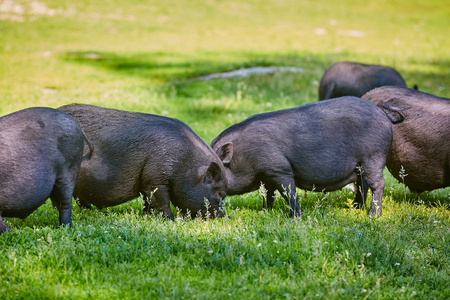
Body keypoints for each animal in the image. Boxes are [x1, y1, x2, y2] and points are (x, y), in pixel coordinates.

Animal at [59, 103, 229, 220]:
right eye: (220, 193)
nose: (226, 217)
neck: (186, 166)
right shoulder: (156, 180)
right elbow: (161, 202)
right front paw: (172, 220)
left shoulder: (146, 184)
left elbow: (149, 203)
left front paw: (147, 217)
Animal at [213, 97, 392, 217]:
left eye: (213, 170)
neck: (242, 157)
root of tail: (384, 115)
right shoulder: (268, 175)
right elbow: (269, 195)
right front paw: (264, 212)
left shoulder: (280, 169)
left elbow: (289, 193)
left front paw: (295, 217)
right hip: (361, 165)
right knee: (362, 185)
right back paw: (355, 208)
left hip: (374, 156)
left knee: (377, 184)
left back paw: (372, 215)